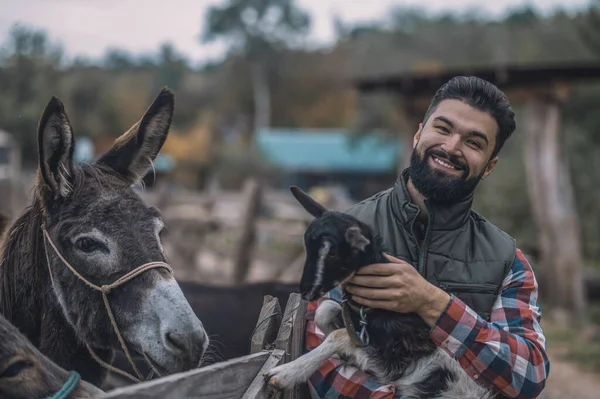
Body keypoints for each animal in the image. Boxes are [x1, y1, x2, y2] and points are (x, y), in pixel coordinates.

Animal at [262, 188, 492, 399]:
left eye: (333, 252)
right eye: (307, 246)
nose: (306, 291)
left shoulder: (396, 364)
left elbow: (340, 335)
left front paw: (282, 374)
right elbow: (326, 310)